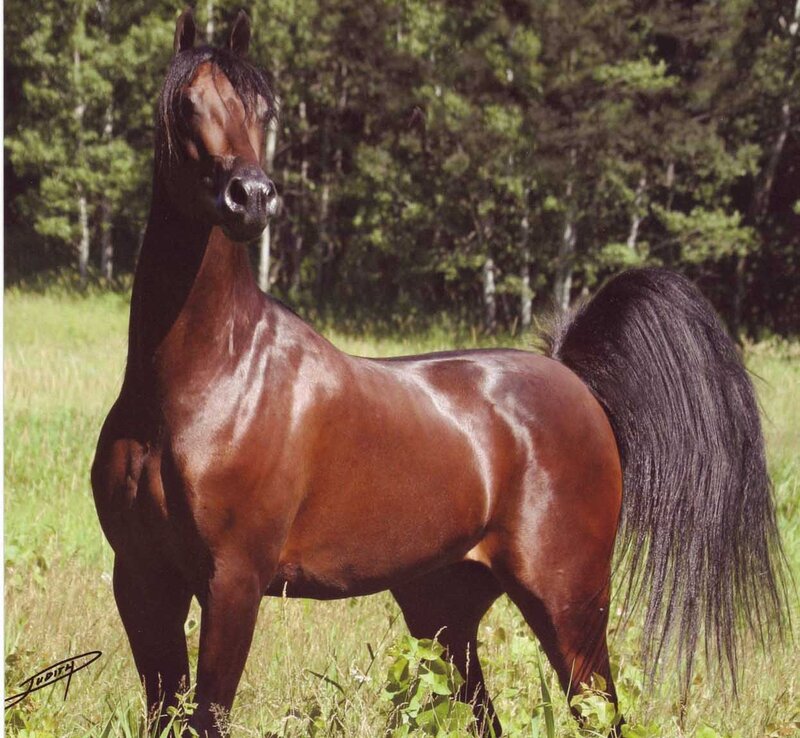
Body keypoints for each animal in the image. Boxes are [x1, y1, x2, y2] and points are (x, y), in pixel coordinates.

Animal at [91, 9, 786, 737]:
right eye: (187, 102)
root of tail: (576, 384)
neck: (202, 386)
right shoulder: (142, 580)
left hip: (568, 604)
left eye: (262, 109)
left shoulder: (233, 583)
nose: (250, 198)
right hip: (445, 608)